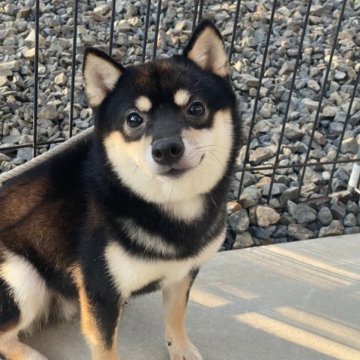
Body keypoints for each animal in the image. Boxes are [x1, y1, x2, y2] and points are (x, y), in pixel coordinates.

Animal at [0, 20, 242, 360]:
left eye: (196, 108)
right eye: (134, 119)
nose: (167, 149)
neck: (169, 209)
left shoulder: (183, 273)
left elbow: (176, 316)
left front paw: (180, 349)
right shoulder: (100, 290)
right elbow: (106, 348)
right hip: (24, 279)